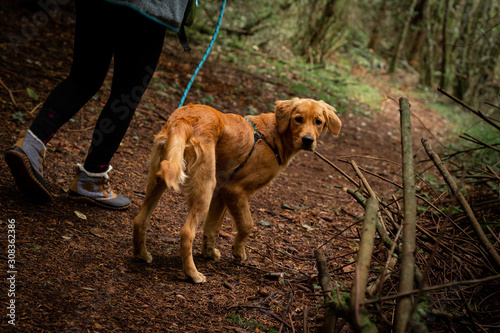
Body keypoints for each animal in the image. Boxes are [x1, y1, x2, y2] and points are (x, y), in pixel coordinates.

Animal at [133, 97, 342, 282]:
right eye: (298, 118)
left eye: (318, 122)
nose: (308, 140)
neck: (275, 135)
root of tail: (184, 118)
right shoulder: (235, 190)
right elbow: (247, 225)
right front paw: (238, 252)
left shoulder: (221, 192)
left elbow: (212, 228)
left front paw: (209, 253)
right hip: (205, 188)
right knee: (186, 233)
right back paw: (193, 274)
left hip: (159, 181)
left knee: (140, 219)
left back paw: (141, 254)